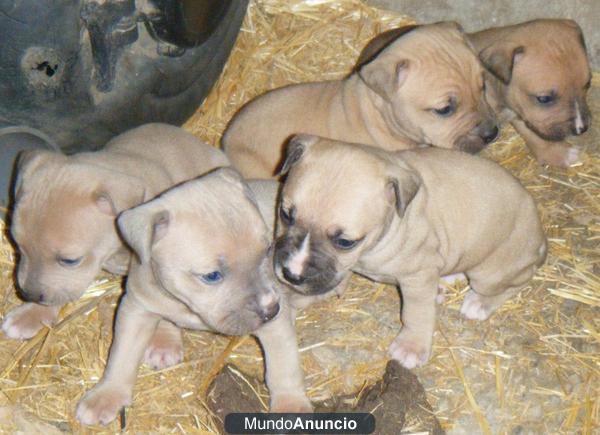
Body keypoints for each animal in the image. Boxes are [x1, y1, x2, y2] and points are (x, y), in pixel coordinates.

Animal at [76, 169, 310, 426]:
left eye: (268, 249)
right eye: (212, 276)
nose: (271, 309)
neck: (184, 305)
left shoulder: (276, 326)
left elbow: (283, 366)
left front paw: (291, 406)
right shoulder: (135, 308)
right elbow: (121, 356)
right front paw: (106, 394)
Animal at [274, 135, 548, 370]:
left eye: (344, 242)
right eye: (285, 215)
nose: (291, 275)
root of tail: (540, 236)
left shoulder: (417, 276)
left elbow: (416, 312)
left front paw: (411, 347)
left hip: (491, 274)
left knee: (517, 282)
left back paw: (479, 302)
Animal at [468, 18, 592, 167]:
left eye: (588, 84)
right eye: (544, 98)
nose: (581, 129)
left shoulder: (520, 111)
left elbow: (531, 132)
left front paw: (557, 153)